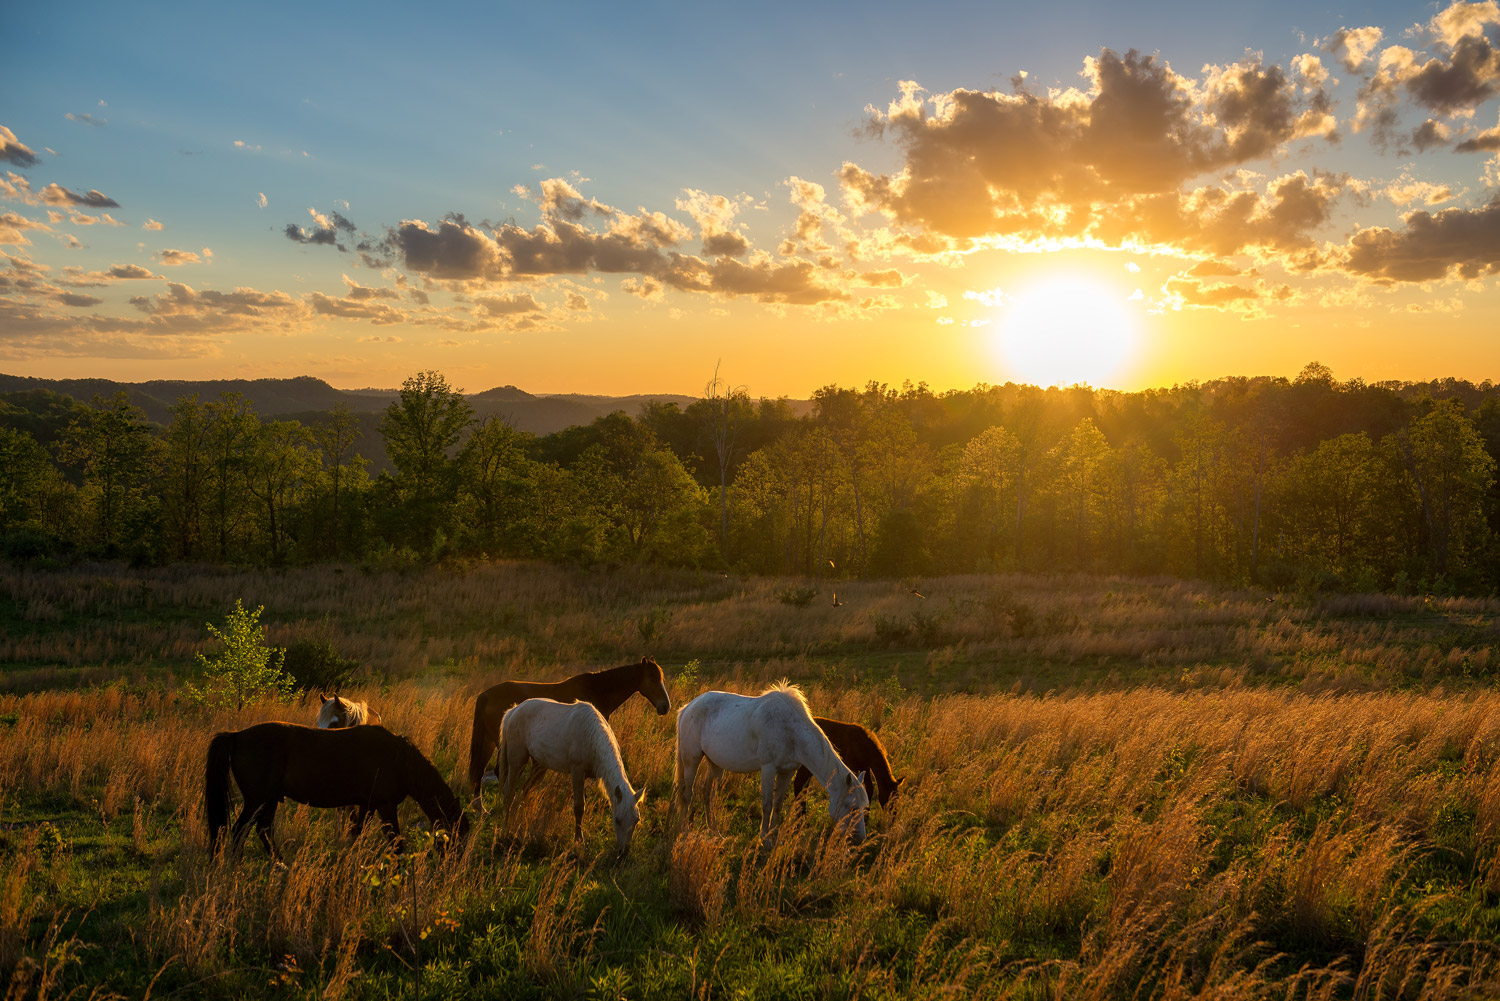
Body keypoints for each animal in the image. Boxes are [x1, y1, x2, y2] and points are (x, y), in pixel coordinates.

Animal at [202, 723, 465, 858]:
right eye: (458, 836)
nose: (455, 866)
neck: (399, 758)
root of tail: (237, 736)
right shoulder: (385, 806)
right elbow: (396, 843)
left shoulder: (368, 805)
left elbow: (357, 832)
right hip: (257, 800)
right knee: (240, 830)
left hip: (268, 800)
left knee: (262, 830)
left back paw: (279, 864)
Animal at [465, 657, 672, 798]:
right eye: (652, 679)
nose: (665, 706)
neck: (597, 690)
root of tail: (485, 695)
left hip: (488, 742)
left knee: (479, 772)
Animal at [501, 702, 648, 858]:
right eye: (617, 820)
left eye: (636, 820)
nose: (623, 852)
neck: (591, 736)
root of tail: (513, 711)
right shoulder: (577, 772)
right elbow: (579, 807)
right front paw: (579, 841)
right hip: (517, 762)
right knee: (509, 792)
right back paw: (506, 828)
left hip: (538, 765)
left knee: (525, 790)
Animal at [678, 681, 876, 846]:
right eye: (851, 807)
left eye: (865, 807)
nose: (859, 839)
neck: (791, 730)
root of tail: (688, 707)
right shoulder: (768, 768)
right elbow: (766, 804)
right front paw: (764, 839)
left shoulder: (787, 771)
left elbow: (778, 804)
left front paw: (775, 838)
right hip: (691, 759)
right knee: (687, 794)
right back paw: (684, 832)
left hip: (715, 763)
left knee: (708, 794)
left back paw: (714, 832)